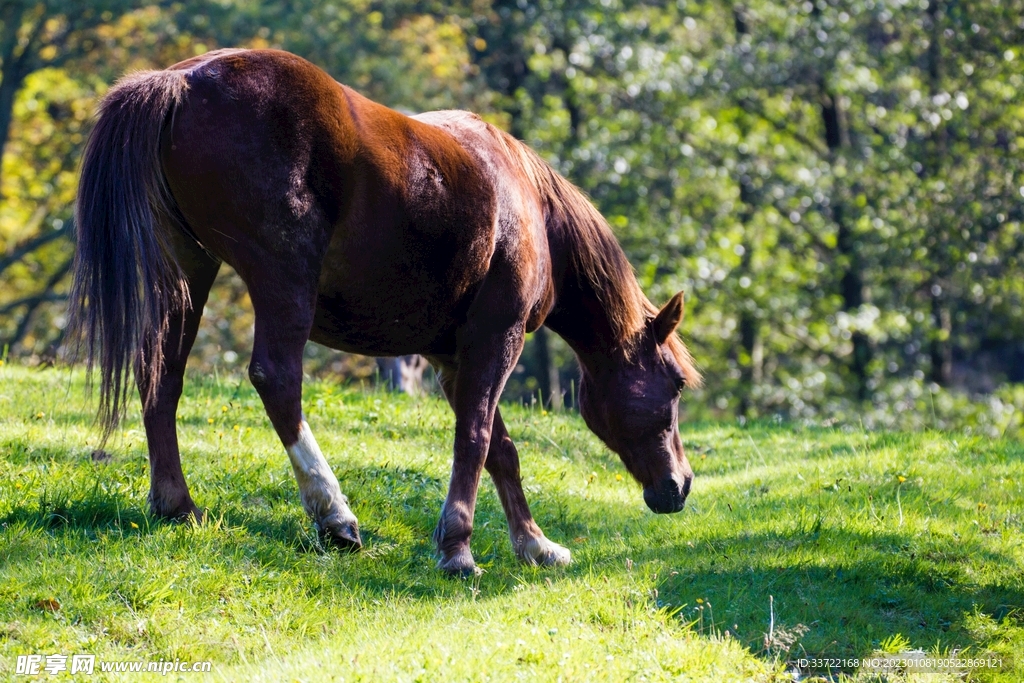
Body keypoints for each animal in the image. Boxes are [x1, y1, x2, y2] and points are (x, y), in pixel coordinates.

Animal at [69, 48, 701, 575]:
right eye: (672, 384)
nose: (681, 484)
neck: (528, 208)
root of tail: (180, 80)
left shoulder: (451, 358)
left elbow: (501, 449)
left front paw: (535, 545)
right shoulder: (497, 339)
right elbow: (475, 438)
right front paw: (458, 549)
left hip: (190, 275)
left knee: (162, 377)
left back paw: (177, 505)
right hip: (282, 280)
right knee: (277, 380)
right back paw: (334, 515)